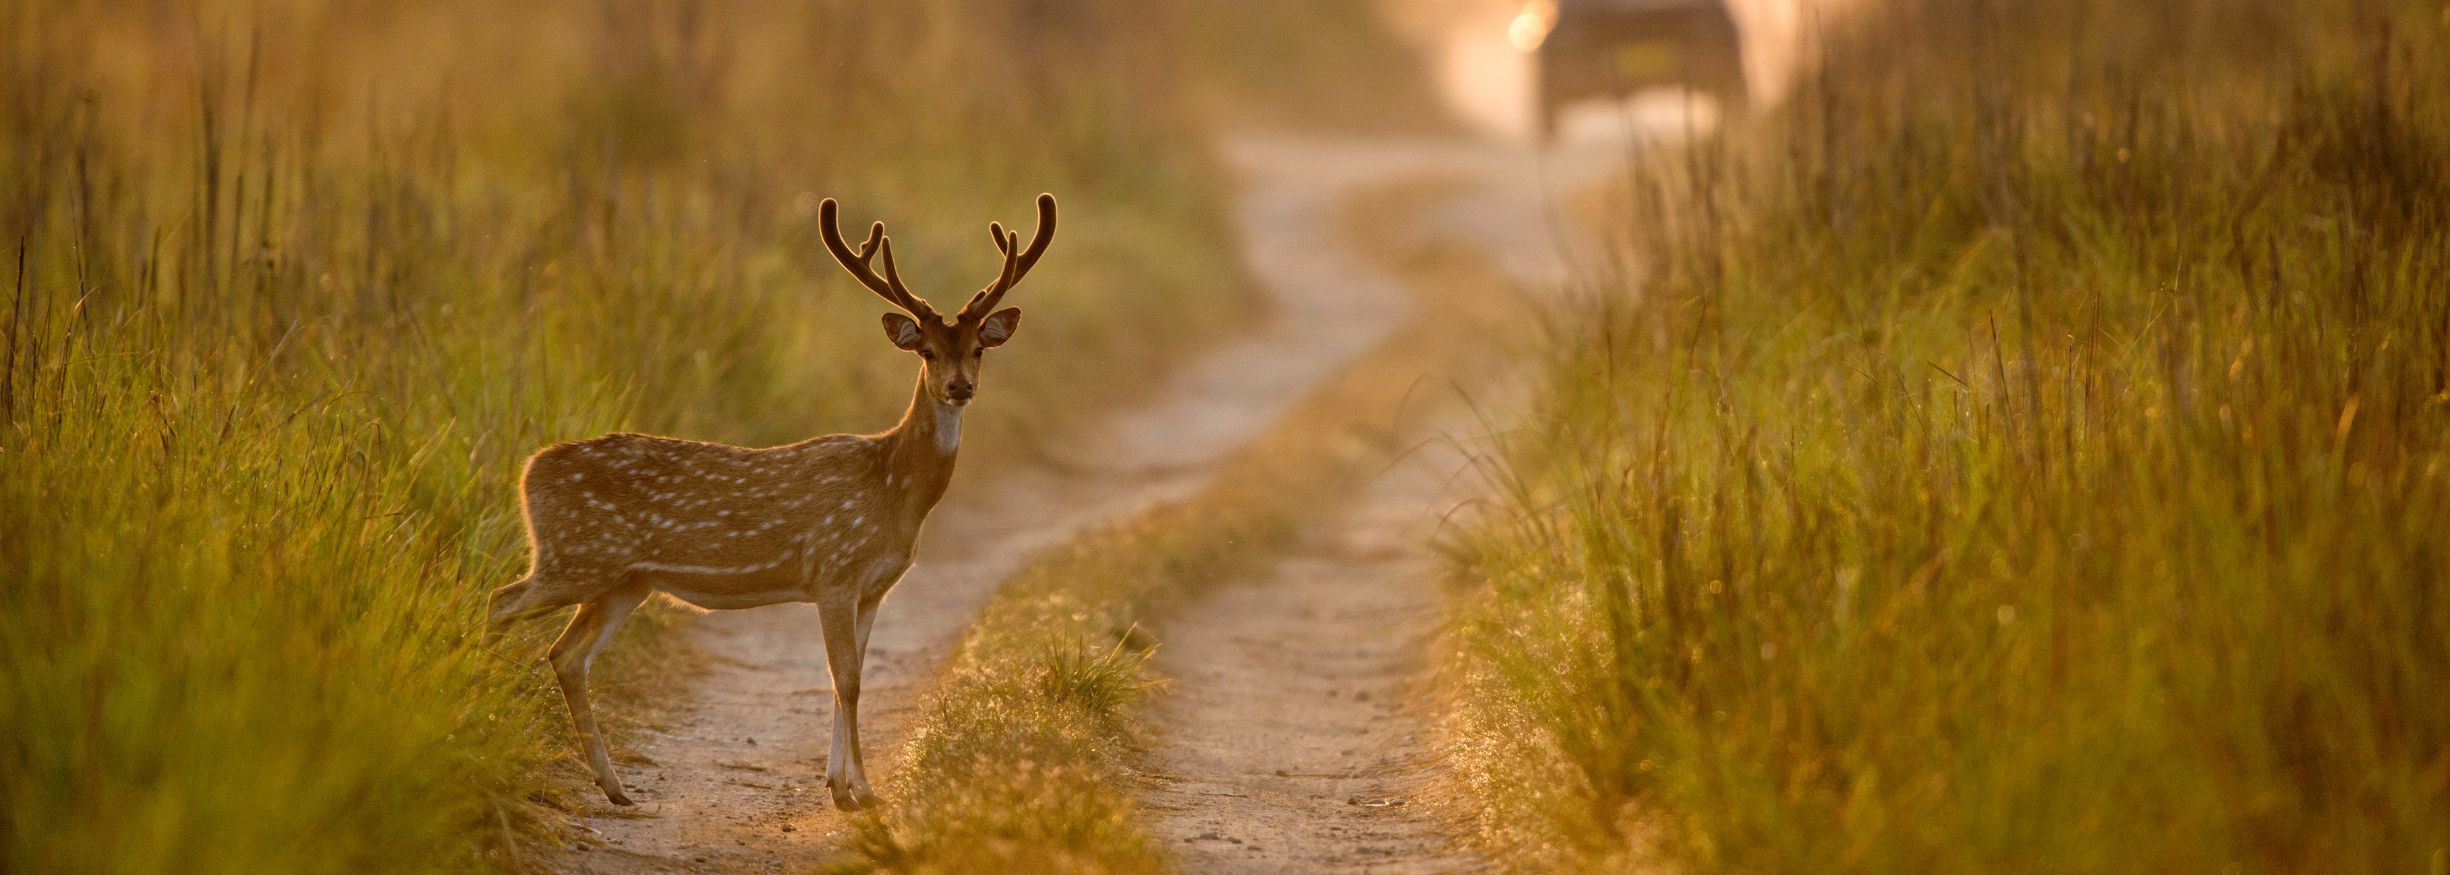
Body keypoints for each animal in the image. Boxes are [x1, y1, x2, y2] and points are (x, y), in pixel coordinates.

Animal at [487, 194, 1053, 808]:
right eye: (926, 351)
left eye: (977, 350)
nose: (959, 387)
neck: (892, 490)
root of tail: (528, 471)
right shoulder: (833, 571)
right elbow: (847, 679)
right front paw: (861, 791)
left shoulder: (874, 587)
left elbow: (848, 678)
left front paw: (839, 783)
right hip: (576, 556)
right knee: (501, 601)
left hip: (624, 581)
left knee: (566, 655)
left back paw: (614, 787)